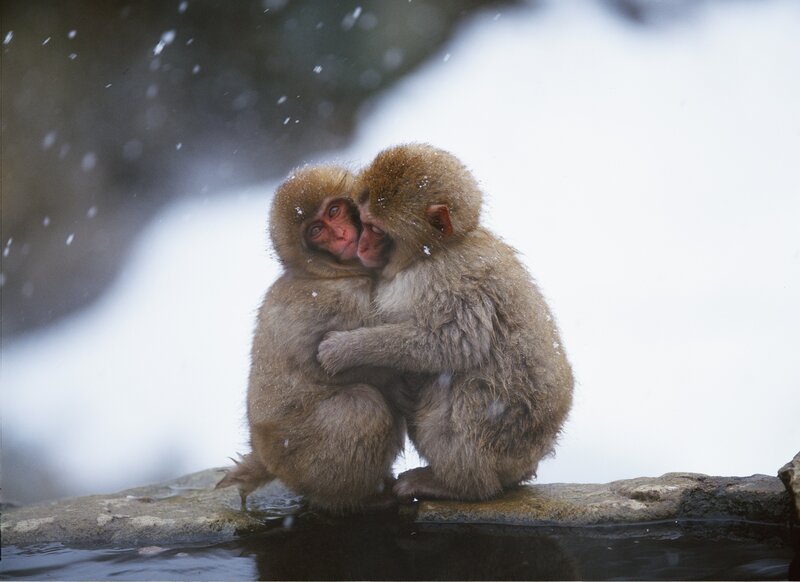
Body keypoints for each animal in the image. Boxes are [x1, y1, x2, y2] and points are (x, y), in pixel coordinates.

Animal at [217, 165, 405, 513]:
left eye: (334, 211)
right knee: (363, 407)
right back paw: (360, 498)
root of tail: (265, 457)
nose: (341, 235)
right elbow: (342, 362)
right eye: (317, 230)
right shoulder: (339, 301)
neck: (328, 273)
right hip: (302, 457)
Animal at [317, 144, 574, 502]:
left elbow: (454, 343)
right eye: (362, 222)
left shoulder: (451, 281)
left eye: (376, 230)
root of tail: (529, 459)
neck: (434, 252)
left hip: (499, 437)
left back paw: (459, 485)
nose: (361, 245)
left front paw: (346, 349)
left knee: (460, 391)